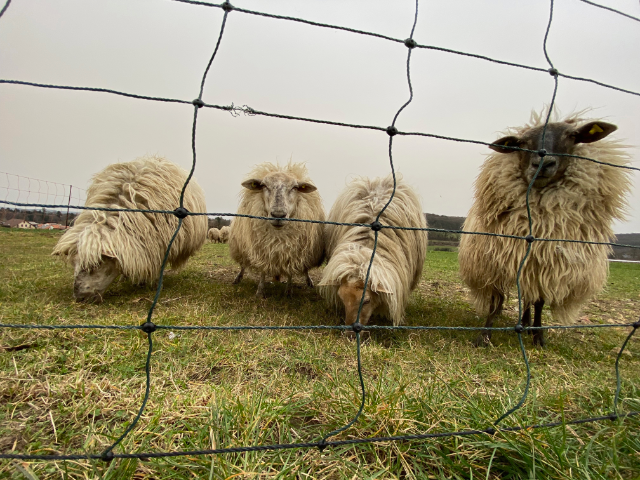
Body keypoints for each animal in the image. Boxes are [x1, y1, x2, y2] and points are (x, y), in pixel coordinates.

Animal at [229, 162, 325, 297]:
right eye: (264, 186)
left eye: (295, 188)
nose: (278, 215)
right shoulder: (262, 248)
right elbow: (263, 270)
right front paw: (260, 292)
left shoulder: (293, 251)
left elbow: (290, 272)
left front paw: (288, 292)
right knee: (243, 264)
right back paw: (238, 278)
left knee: (305, 269)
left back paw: (309, 281)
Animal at [458, 110, 632, 347]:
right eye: (521, 143)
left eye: (572, 136)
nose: (543, 163)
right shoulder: (495, 263)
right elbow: (497, 300)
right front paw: (484, 335)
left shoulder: (545, 266)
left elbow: (539, 301)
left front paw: (538, 335)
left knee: (529, 298)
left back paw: (526, 324)